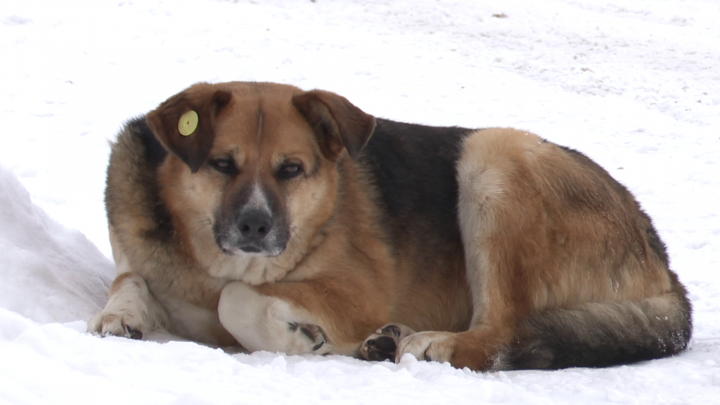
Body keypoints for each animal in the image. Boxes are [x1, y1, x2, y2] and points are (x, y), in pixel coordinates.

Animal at [90, 81, 692, 370]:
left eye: (291, 170)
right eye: (221, 164)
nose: (255, 228)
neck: (207, 261)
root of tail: (663, 262)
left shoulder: (356, 293)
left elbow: (234, 300)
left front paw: (296, 336)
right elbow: (130, 277)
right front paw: (120, 315)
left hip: (493, 159)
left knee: (499, 333)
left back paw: (430, 346)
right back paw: (388, 340)